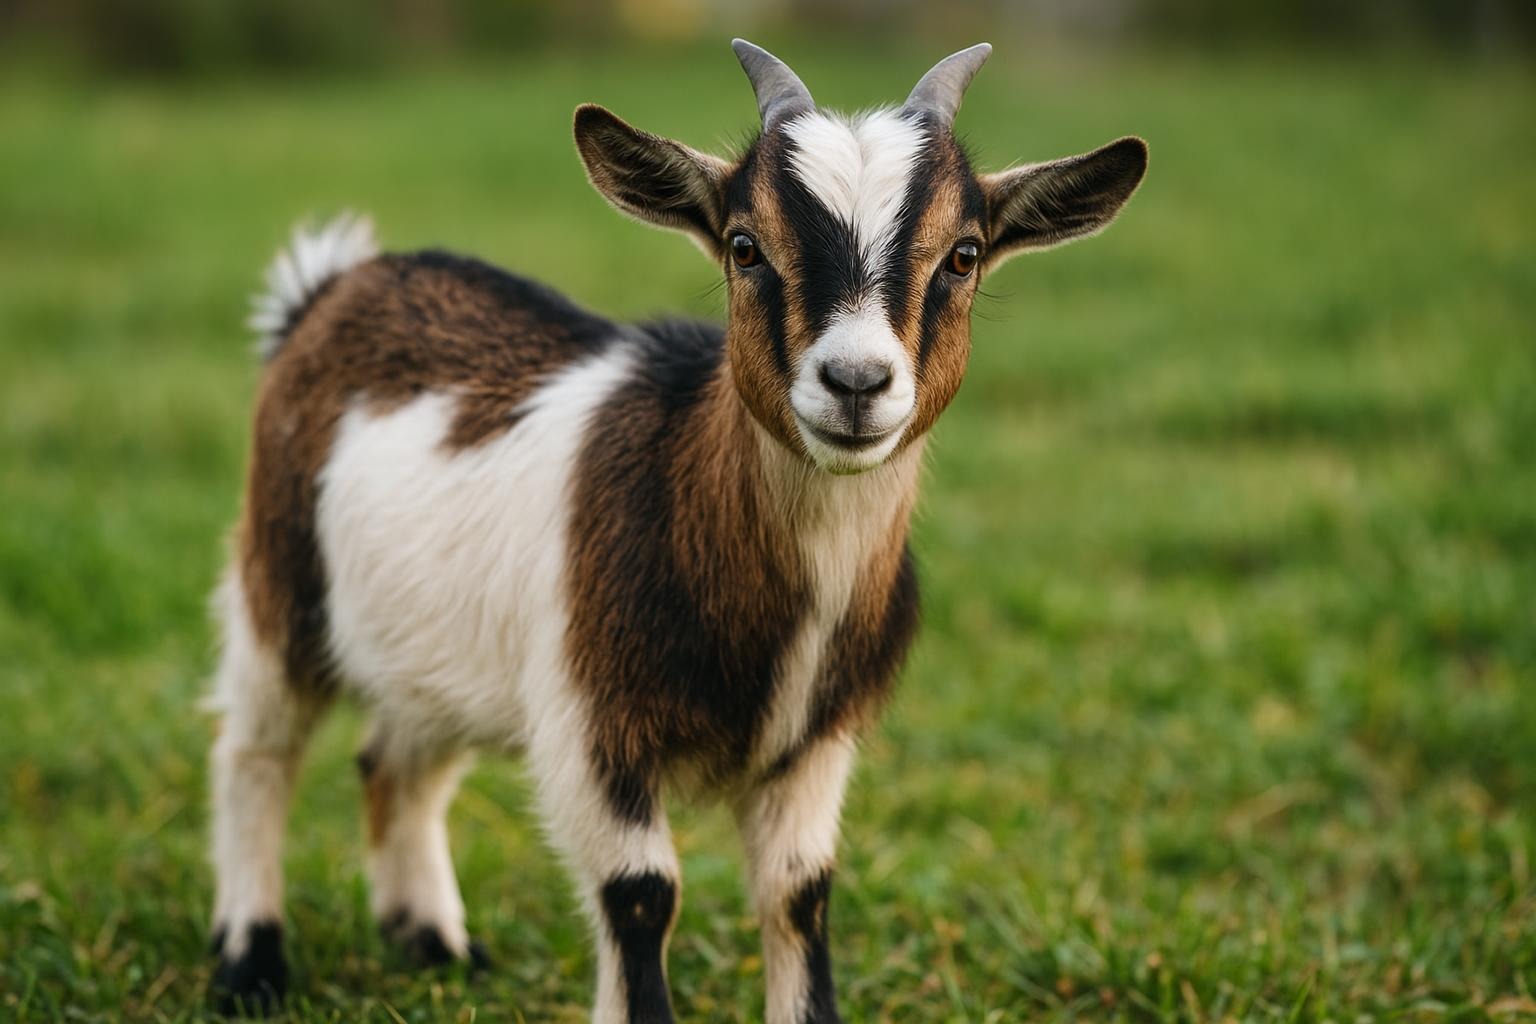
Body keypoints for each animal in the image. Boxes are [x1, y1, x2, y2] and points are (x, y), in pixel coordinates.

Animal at [207, 39, 1147, 1022]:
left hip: (432, 646)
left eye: (963, 255)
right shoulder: (592, 721)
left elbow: (801, 892)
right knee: (257, 748)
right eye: (744, 246)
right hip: (279, 574)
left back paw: (433, 944)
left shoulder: (816, 741)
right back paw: (249, 963)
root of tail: (326, 293)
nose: (855, 383)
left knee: (397, 760)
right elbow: (640, 892)